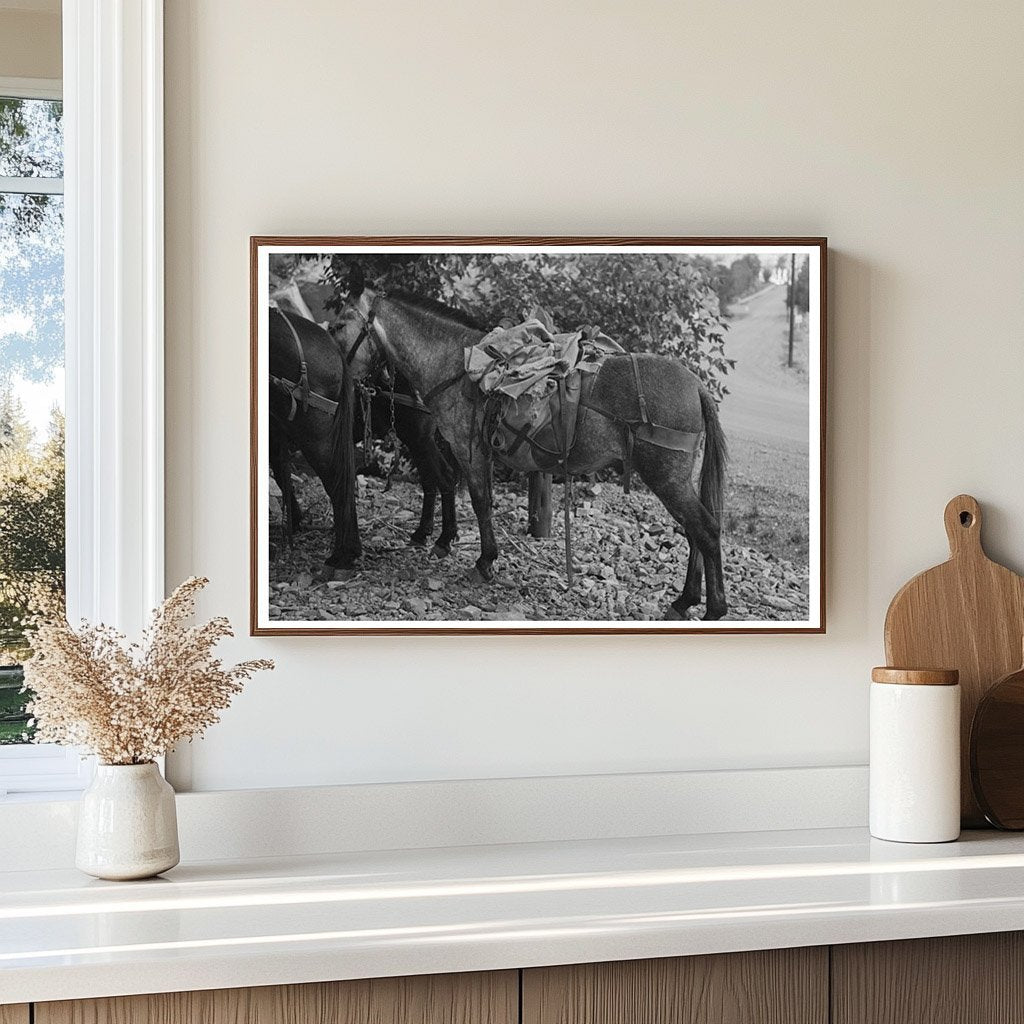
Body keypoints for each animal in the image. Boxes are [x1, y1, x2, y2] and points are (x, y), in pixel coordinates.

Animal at [335, 272, 729, 618]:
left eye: (339, 325)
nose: (339, 378)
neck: (458, 366)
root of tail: (695, 384)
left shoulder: (469, 451)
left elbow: (480, 502)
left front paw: (484, 561)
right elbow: (474, 498)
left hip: (667, 479)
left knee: (706, 530)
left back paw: (712, 609)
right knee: (693, 532)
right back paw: (685, 601)